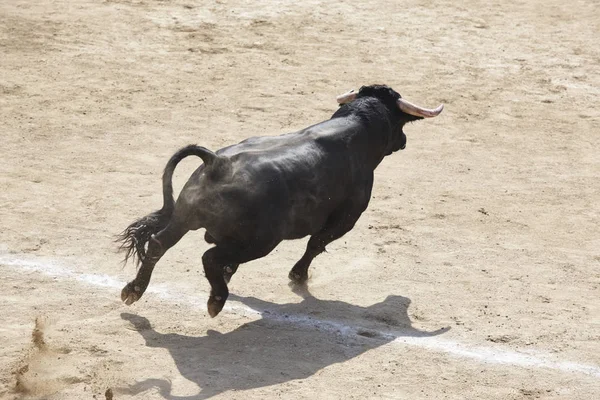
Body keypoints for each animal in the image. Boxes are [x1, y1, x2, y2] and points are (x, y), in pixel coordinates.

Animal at [119, 84, 442, 316]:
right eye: (401, 123)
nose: (404, 141)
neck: (356, 127)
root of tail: (218, 162)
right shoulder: (348, 216)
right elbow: (316, 243)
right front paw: (298, 276)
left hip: (185, 218)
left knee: (159, 243)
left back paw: (134, 290)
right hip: (261, 241)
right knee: (210, 257)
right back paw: (216, 300)